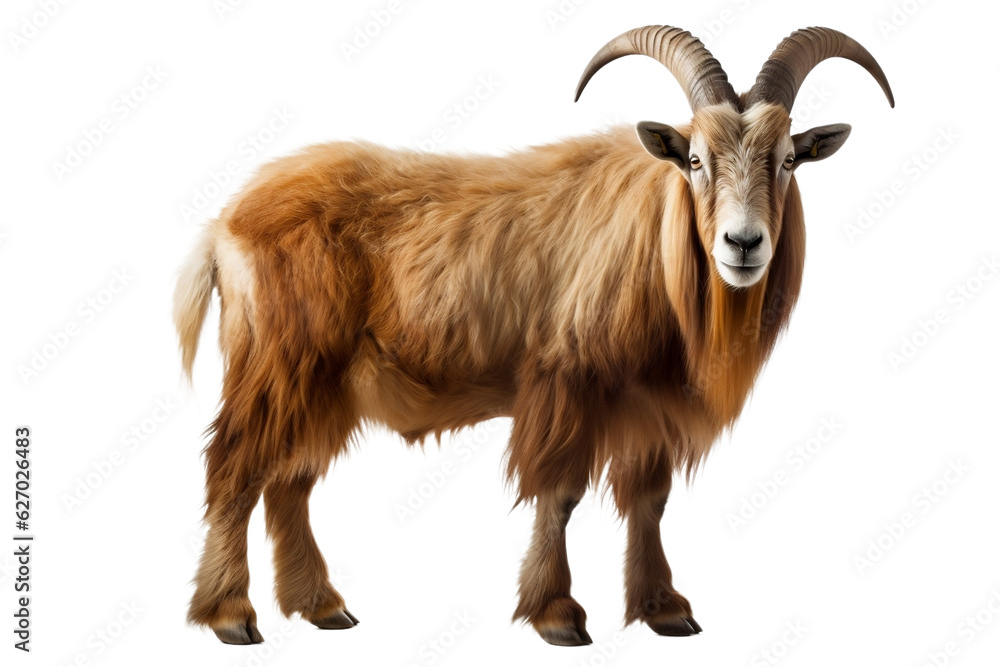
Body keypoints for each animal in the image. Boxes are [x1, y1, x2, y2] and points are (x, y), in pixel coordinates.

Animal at [174, 25, 893, 646]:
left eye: (789, 159)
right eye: (694, 159)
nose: (743, 244)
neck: (648, 239)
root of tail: (224, 222)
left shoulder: (651, 406)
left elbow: (651, 500)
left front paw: (664, 609)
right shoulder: (566, 382)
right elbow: (561, 492)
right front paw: (557, 614)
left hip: (322, 384)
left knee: (289, 479)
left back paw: (322, 606)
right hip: (279, 362)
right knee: (235, 467)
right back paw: (231, 614)